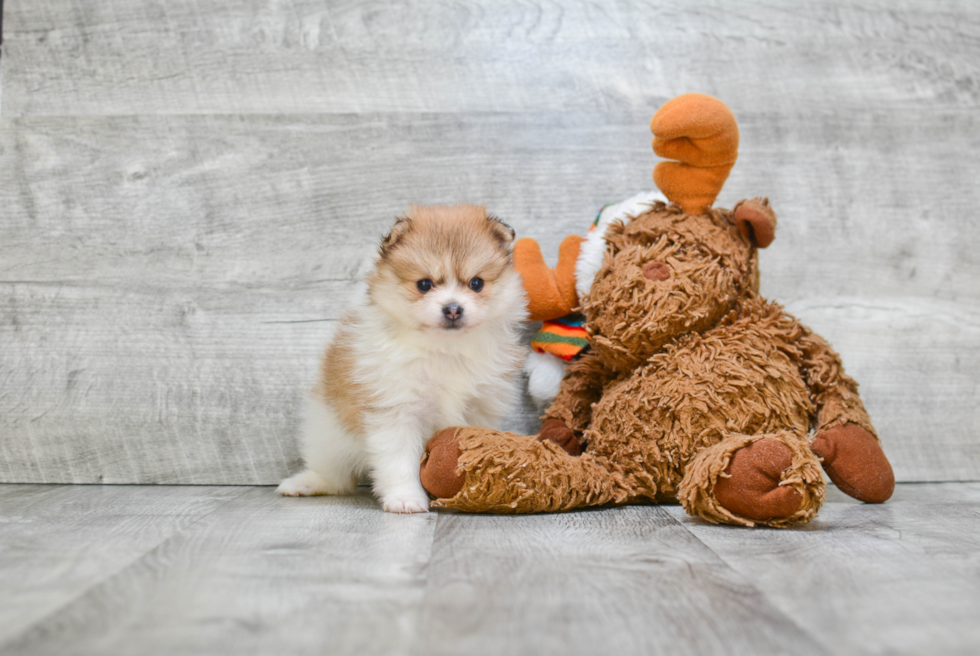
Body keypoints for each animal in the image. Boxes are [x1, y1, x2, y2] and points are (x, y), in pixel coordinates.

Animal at [278, 204, 528, 512]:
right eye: (424, 284)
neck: (444, 348)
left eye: (476, 283)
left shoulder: (479, 410)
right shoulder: (395, 411)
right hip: (328, 435)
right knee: (334, 476)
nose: (453, 309)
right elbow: (399, 462)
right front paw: (405, 498)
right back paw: (305, 483)